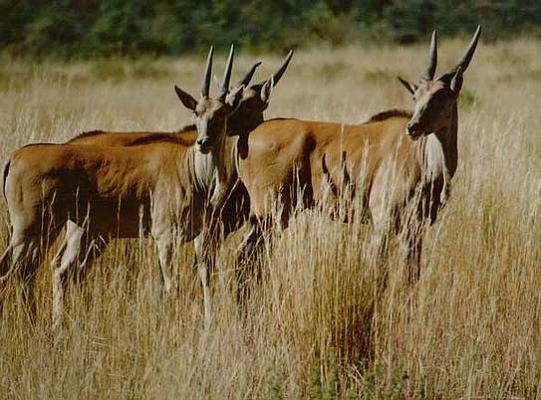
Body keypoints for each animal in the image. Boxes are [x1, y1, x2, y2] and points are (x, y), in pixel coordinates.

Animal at [0, 45, 248, 330]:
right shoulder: (165, 237)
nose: (203, 142)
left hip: (75, 229)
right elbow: (171, 286)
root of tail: (16, 156)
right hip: (30, 228)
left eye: (221, 114)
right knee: (14, 272)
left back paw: (54, 325)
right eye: (197, 112)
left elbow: (204, 277)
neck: (189, 169)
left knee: (54, 270)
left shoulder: (198, 236)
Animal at [234, 26, 478, 292]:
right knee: (245, 257)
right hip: (270, 214)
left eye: (441, 97)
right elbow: (378, 275)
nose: (413, 127)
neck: (426, 164)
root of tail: (249, 134)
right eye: (417, 97)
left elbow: (411, 278)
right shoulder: (383, 223)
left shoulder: (415, 230)